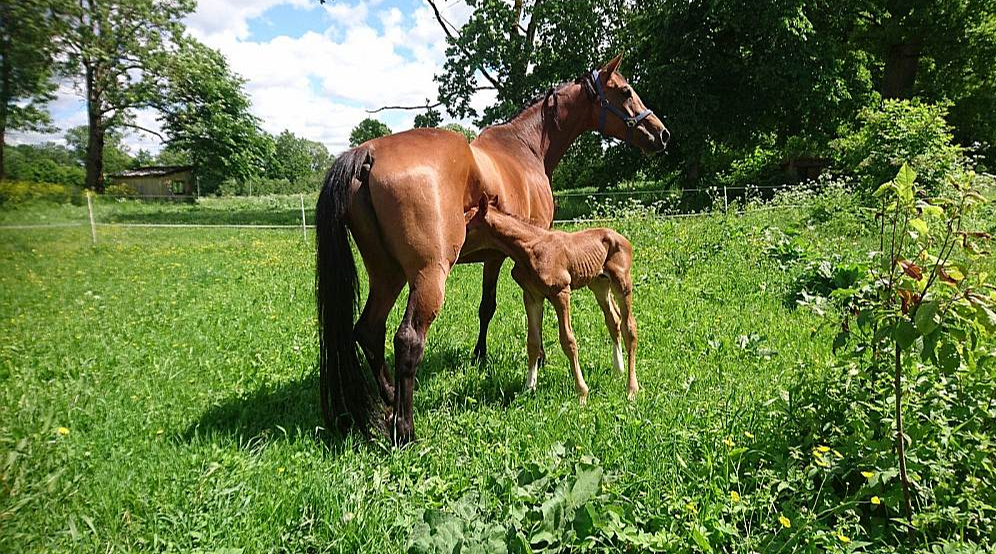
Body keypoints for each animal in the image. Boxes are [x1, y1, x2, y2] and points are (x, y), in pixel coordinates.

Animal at [466, 196, 640, 404]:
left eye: (469, 226)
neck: (530, 248)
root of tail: (622, 238)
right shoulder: (532, 296)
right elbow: (533, 341)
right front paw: (528, 387)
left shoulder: (561, 292)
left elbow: (568, 340)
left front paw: (582, 393)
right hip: (599, 284)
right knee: (614, 320)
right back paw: (618, 370)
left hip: (622, 284)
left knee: (629, 327)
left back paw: (631, 389)